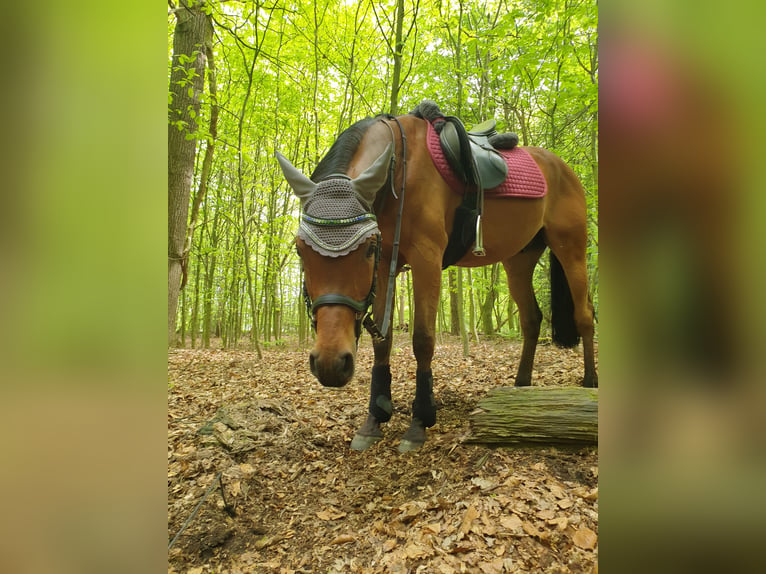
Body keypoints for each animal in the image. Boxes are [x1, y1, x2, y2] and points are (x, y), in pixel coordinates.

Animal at [276, 105, 597, 452]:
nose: (331, 363)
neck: (398, 172)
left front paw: (420, 421)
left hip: (571, 248)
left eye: (367, 249)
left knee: (584, 315)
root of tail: (562, 167)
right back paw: (521, 386)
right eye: (300, 250)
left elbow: (423, 339)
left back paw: (589, 383)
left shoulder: (425, 258)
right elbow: (383, 342)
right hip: (519, 260)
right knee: (531, 319)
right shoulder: (386, 263)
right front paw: (375, 419)